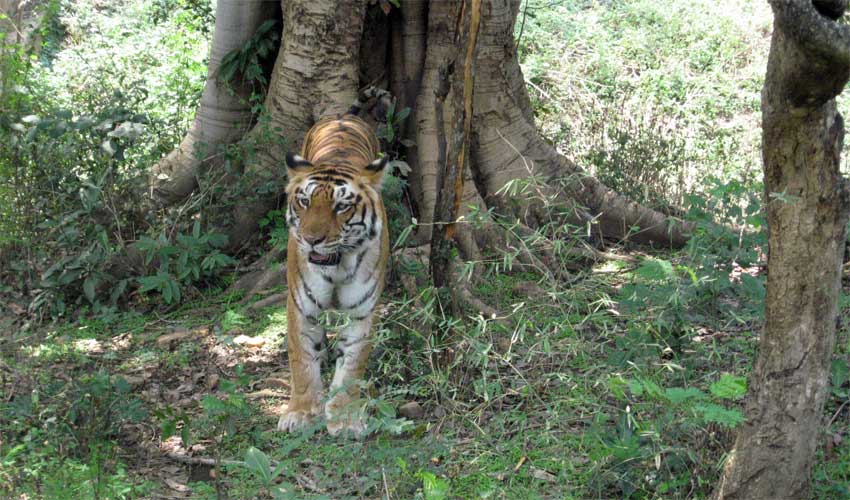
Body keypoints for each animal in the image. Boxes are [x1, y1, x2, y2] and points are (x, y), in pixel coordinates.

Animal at [278, 92, 390, 436]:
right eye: (304, 201)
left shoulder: (363, 311)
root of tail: (342, 116)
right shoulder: (300, 306)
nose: (311, 239)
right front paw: (301, 412)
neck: (337, 266)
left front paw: (346, 417)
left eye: (341, 207)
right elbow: (301, 359)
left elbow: (353, 364)